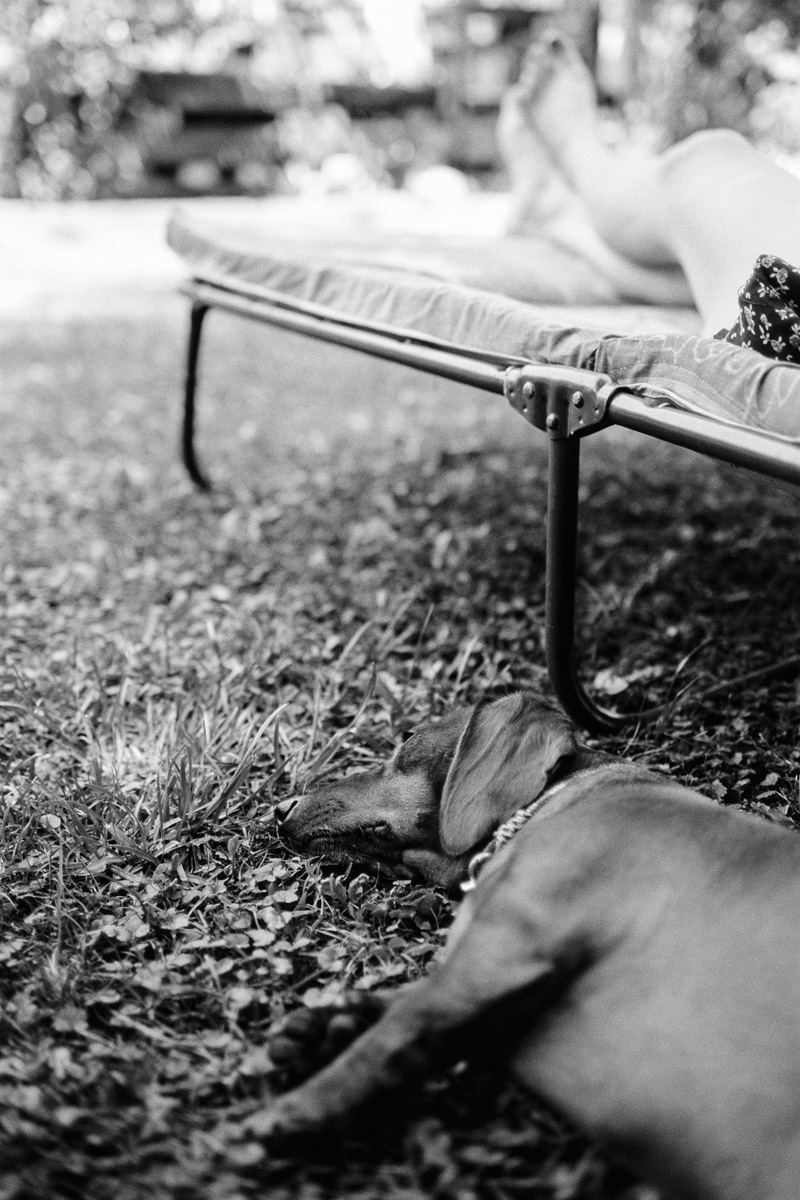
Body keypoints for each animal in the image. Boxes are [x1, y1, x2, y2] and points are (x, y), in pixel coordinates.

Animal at [268, 693, 800, 1199]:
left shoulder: (506, 950)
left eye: (408, 738)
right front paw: (334, 1021)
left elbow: (396, 1032)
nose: (279, 809)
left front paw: (296, 1111)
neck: (549, 807)